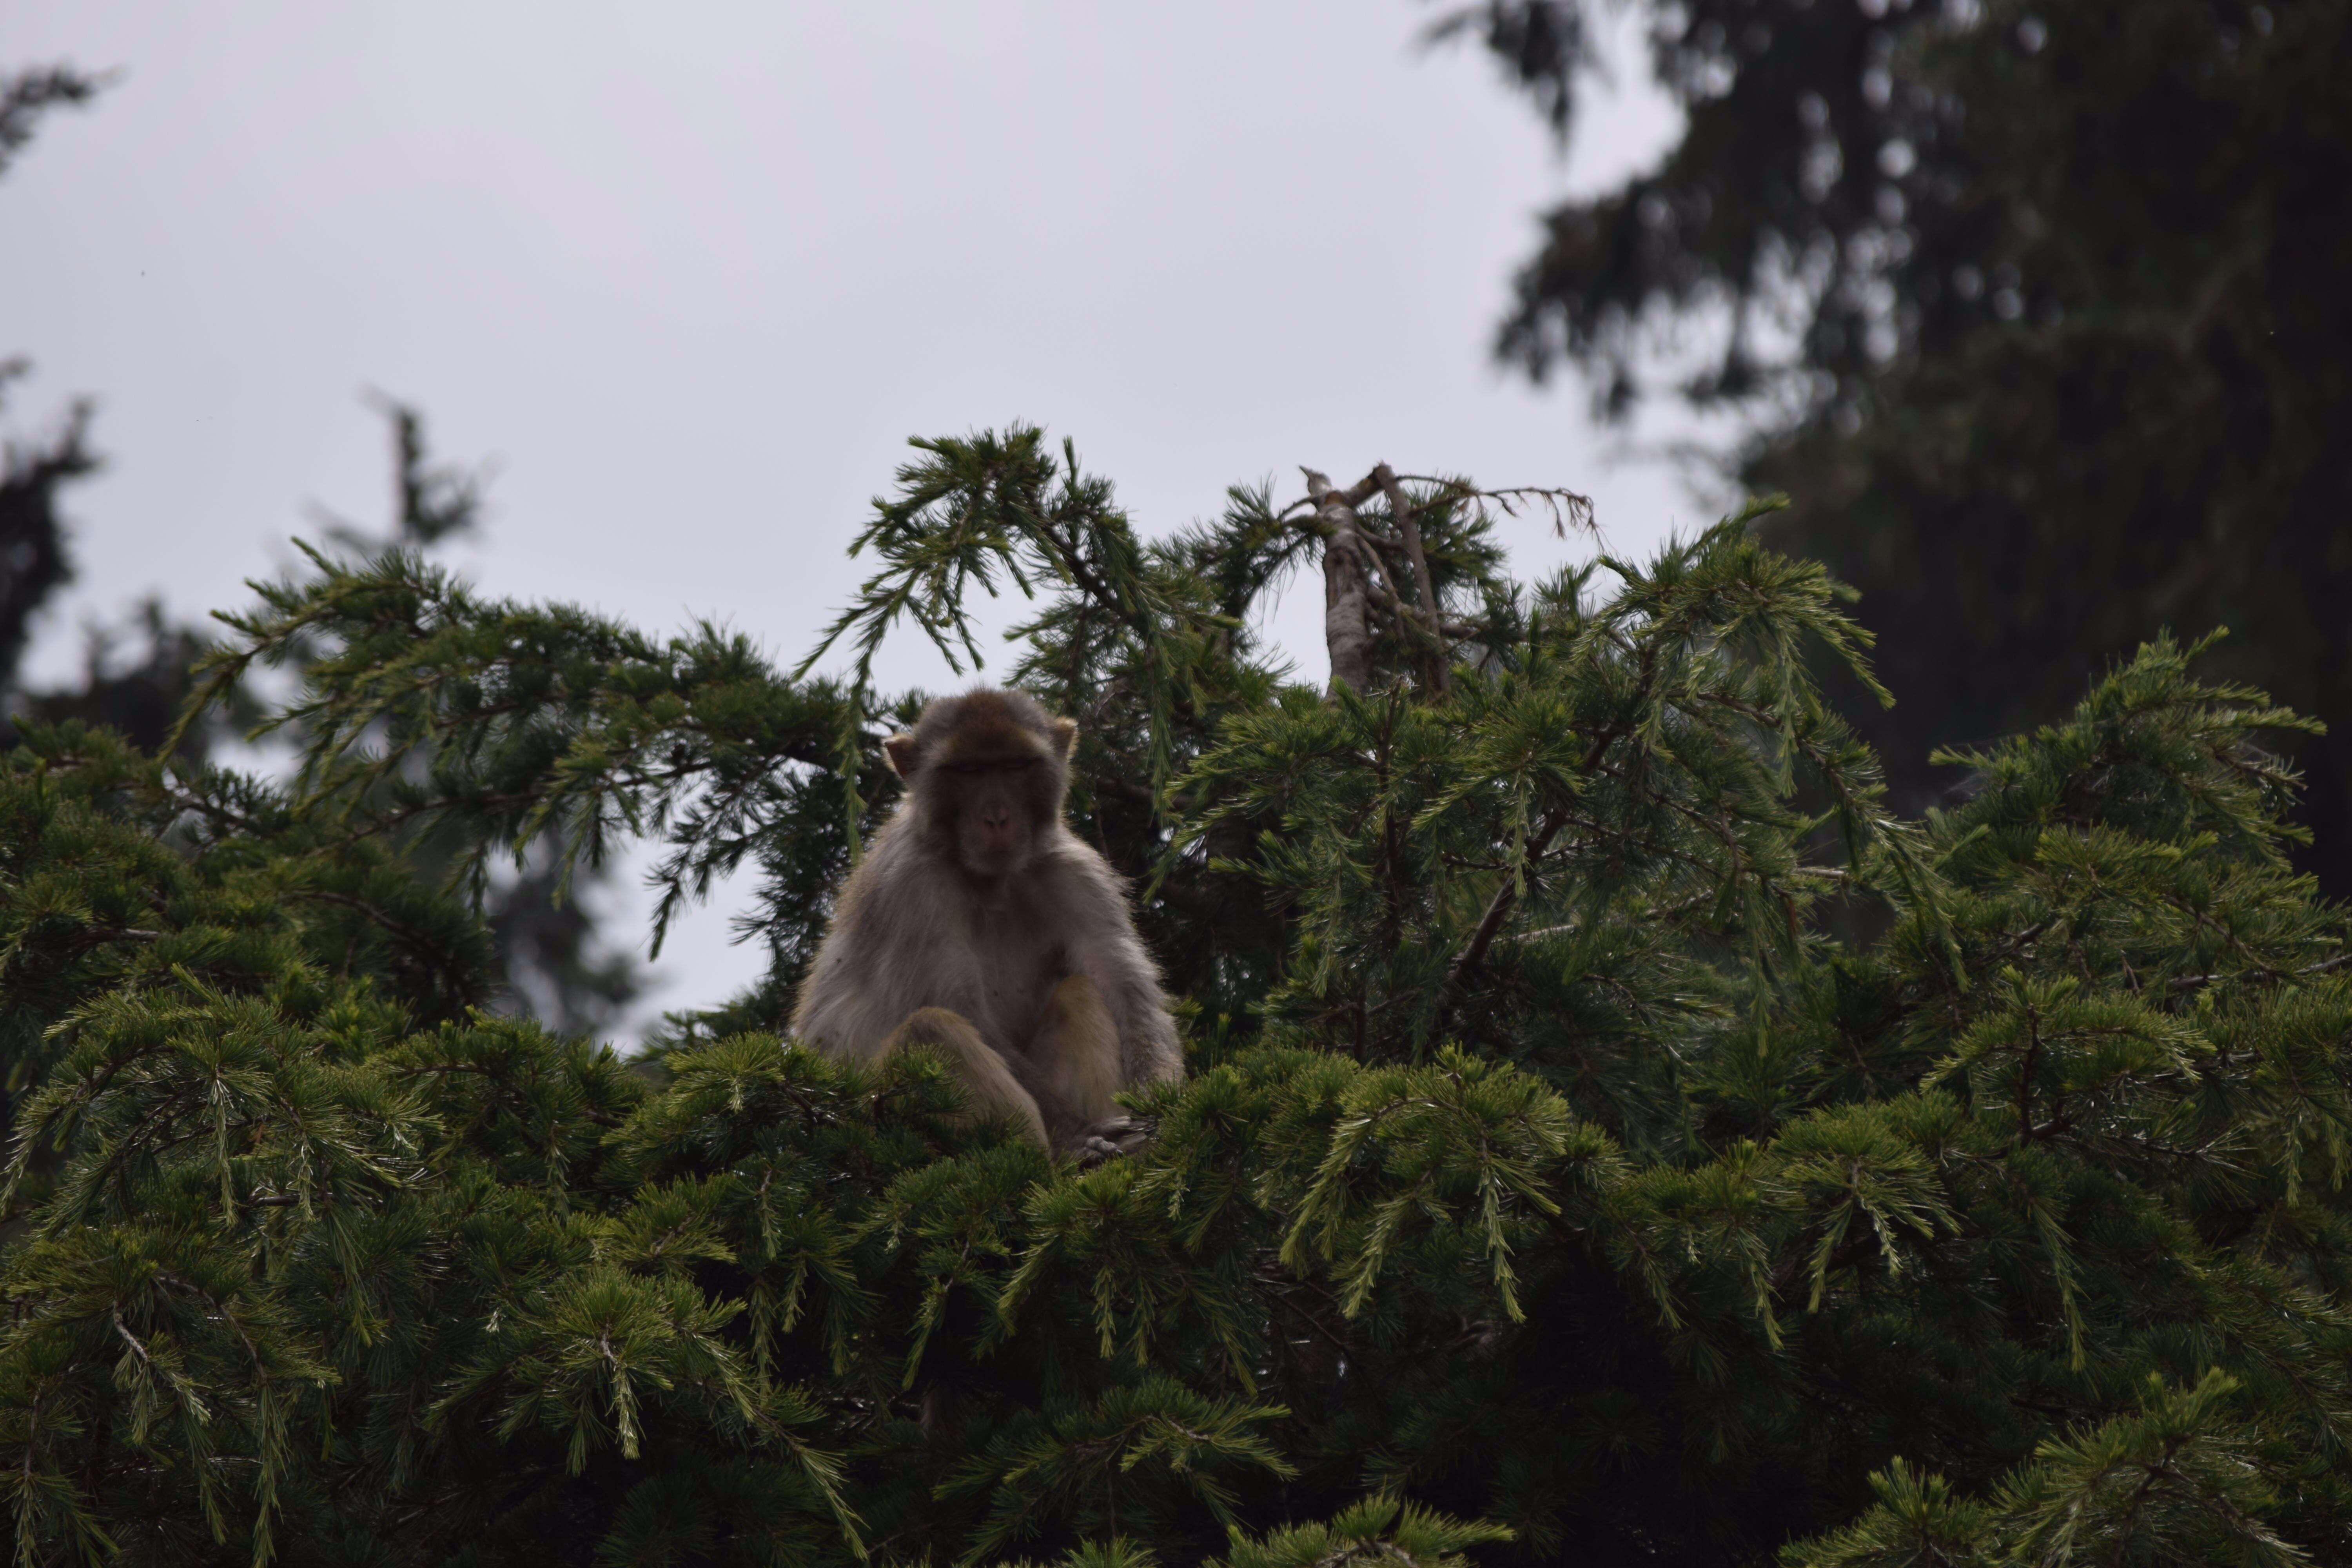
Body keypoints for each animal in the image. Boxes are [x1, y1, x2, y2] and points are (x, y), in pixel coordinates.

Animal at [790, 686, 1185, 1152]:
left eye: (1014, 766)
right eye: (969, 771)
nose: (997, 818)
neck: (992, 881)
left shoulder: (1077, 875)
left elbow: (1123, 987)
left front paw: (1160, 1103)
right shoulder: (913, 890)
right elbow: (962, 1007)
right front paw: (1078, 1134)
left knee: (1082, 991)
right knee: (930, 1029)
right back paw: (1058, 1159)